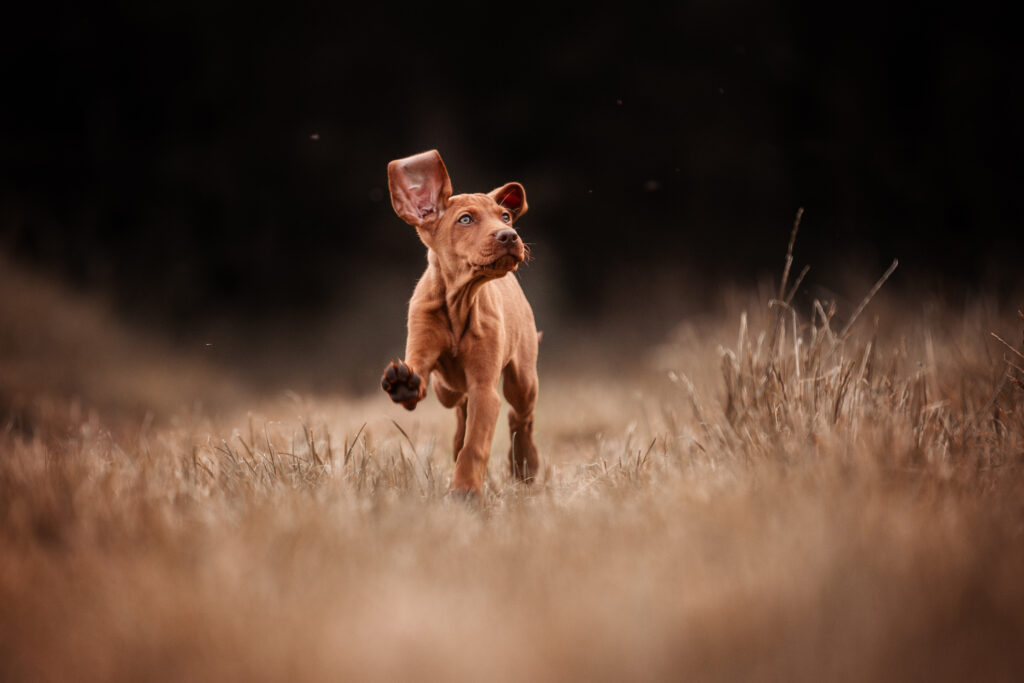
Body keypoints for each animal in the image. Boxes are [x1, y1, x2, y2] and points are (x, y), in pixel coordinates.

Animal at [380, 149, 540, 493]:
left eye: (505, 217)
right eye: (465, 219)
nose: (510, 236)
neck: (459, 301)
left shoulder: (485, 389)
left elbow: (475, 445)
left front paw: (465, 490)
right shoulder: (422, 352)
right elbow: (416, 375)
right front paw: (402, 384)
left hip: (522, 380)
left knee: (520, 418)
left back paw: (525, 465)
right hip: (448, 389)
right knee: (459, 409)